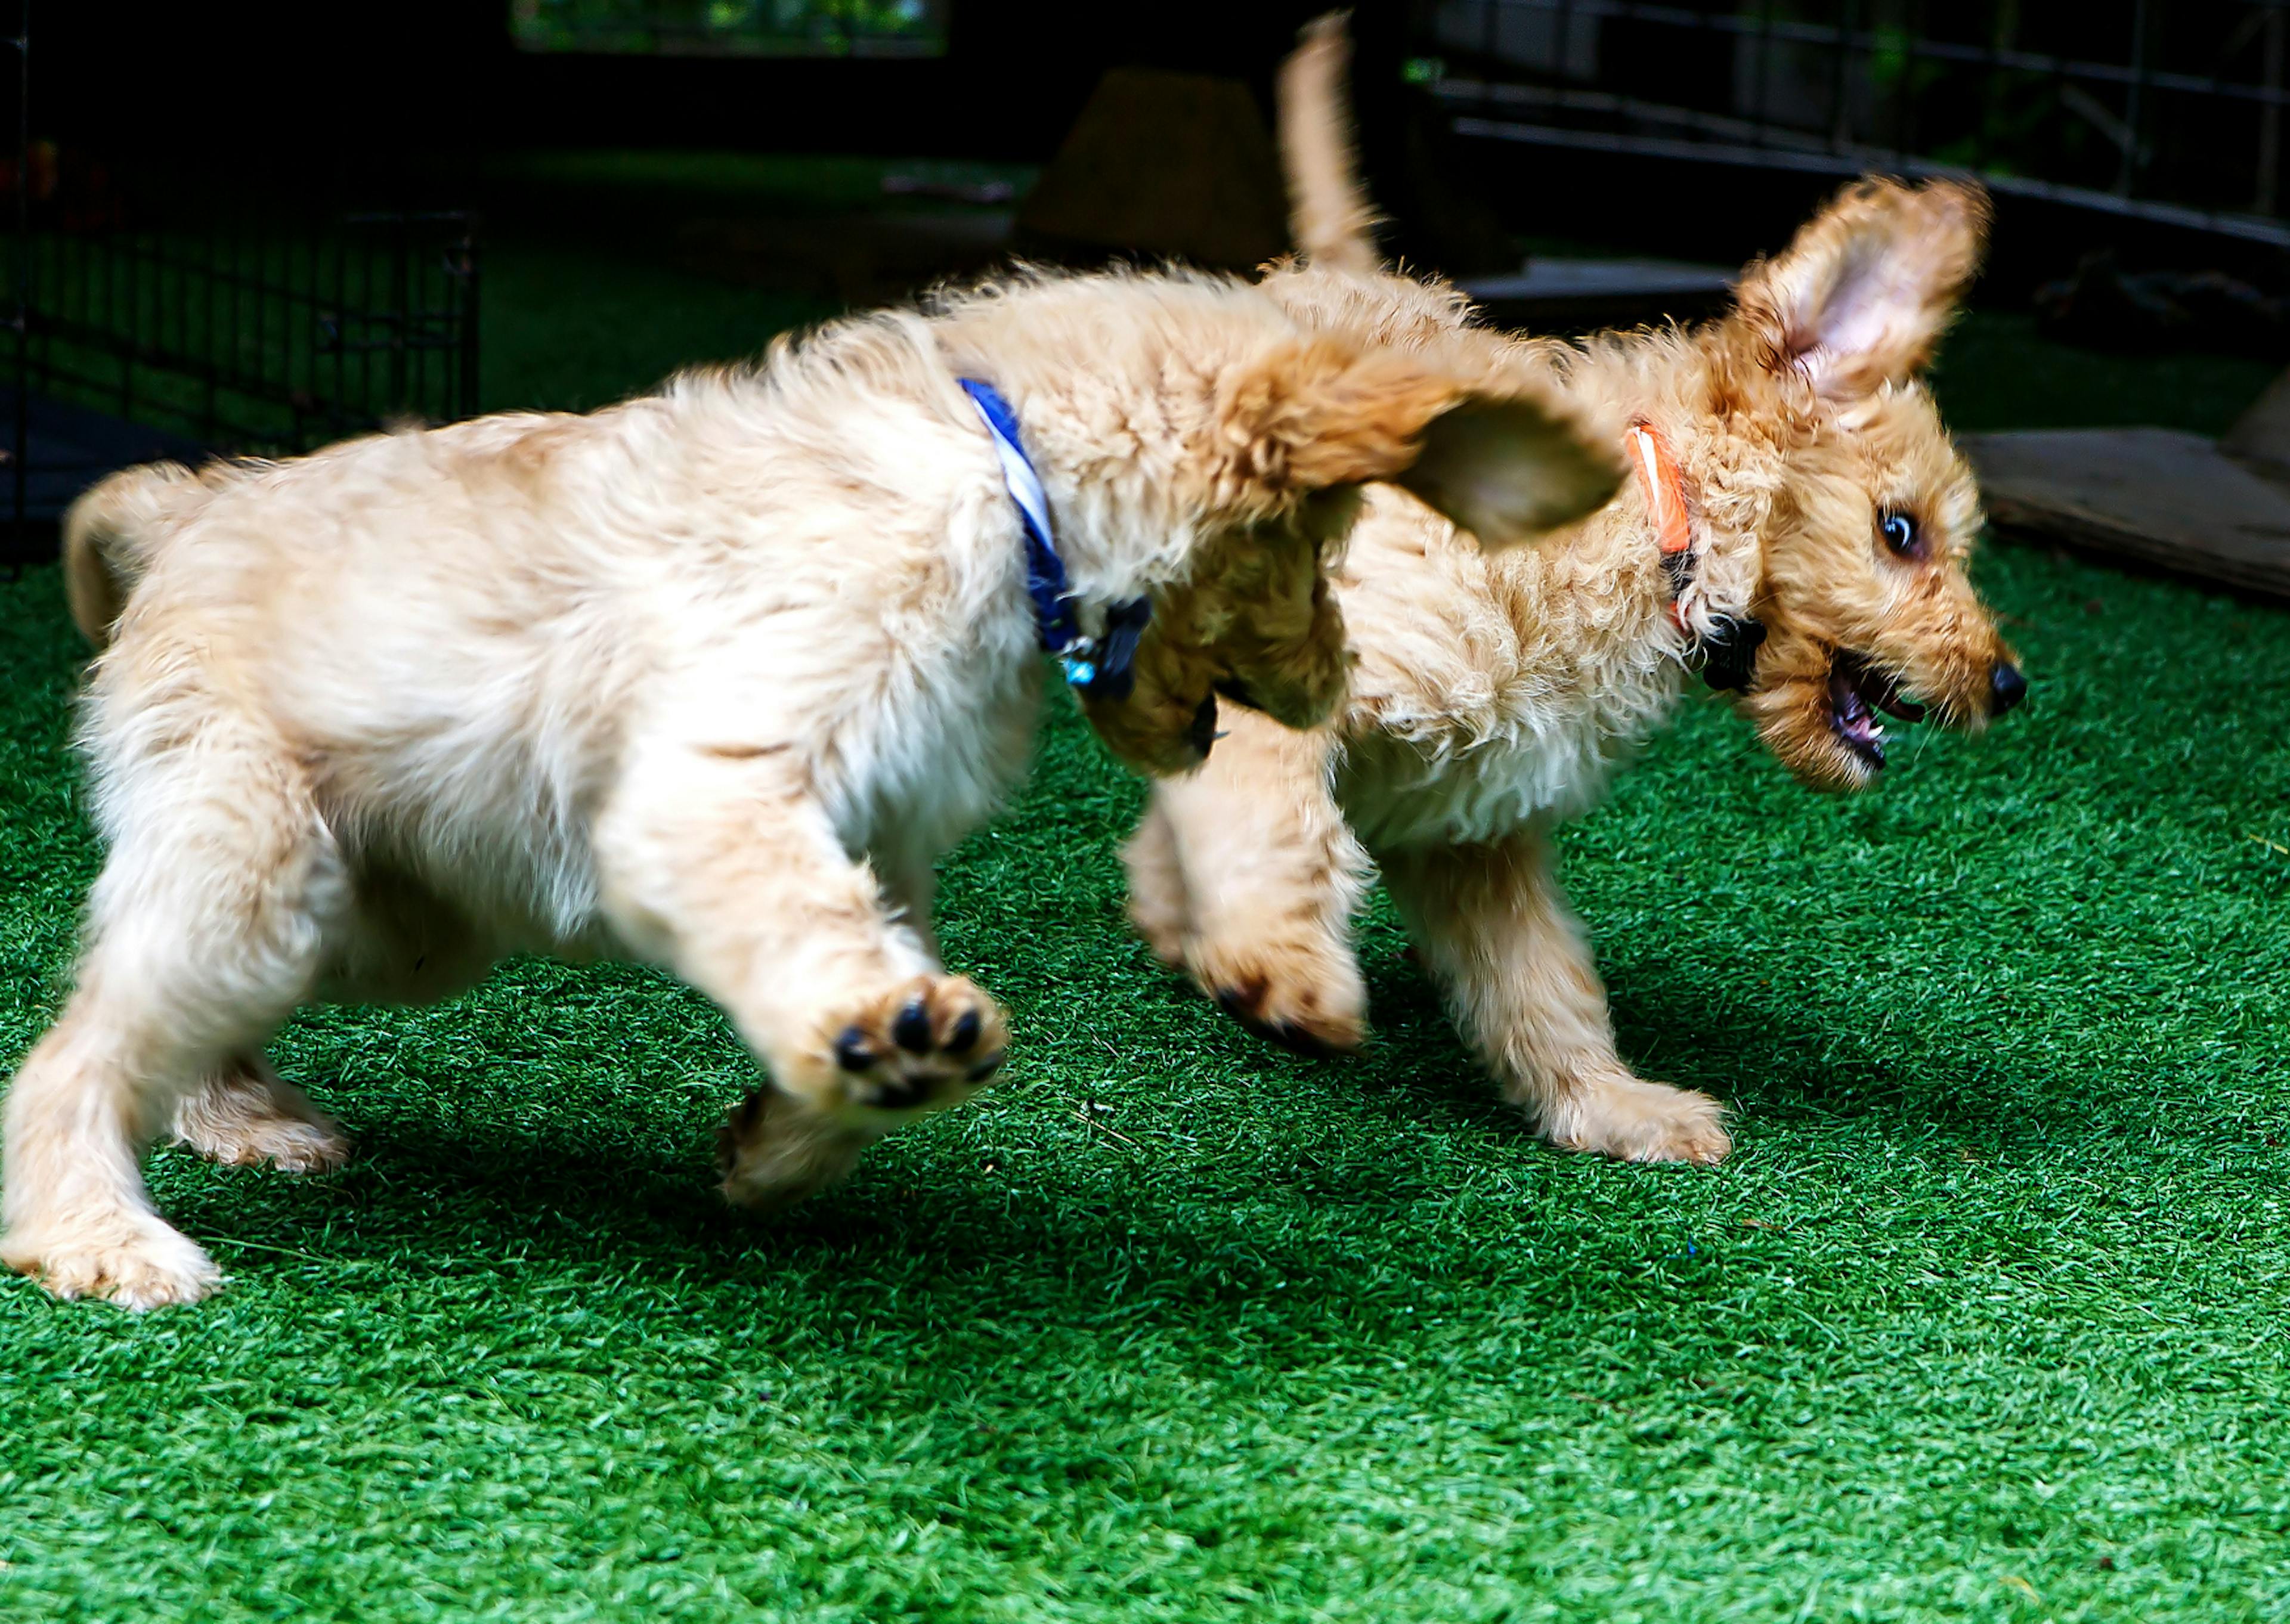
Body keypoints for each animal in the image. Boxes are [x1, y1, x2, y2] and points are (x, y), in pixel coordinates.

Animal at [4, 263, 1630, 1301]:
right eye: (1314, 546)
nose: (1333, 685)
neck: (1003, 480)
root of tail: (200, 500)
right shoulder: (713, 787)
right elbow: (804, 929)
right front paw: (877, 1039)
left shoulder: (878, 837)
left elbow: (838, 960)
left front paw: (798, 1130)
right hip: (269, 868)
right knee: (75, 1053)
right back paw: (95, 1234)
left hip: (391, 912)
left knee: (159, 1019)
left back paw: (242, 1122)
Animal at [1122, 22, 2024, 1163]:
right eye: (1900, 532)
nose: (2009, 684)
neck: (1645, 521)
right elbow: (1277, 808)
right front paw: (1284, 965)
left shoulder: (1473, 819)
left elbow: (1539, 979)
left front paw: (1615, 1104)